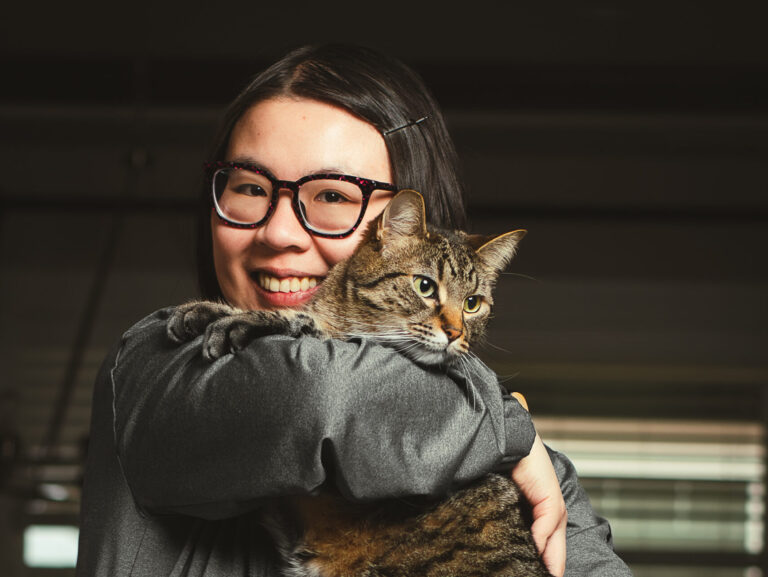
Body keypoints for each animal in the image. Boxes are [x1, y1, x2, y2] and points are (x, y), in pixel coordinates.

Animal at [168, 190, 552, 576]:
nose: (456, 332)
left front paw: (241, 318)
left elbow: (298, 322)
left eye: (472, 304)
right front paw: (208, 309)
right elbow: (304, 318)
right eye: (425, 286)